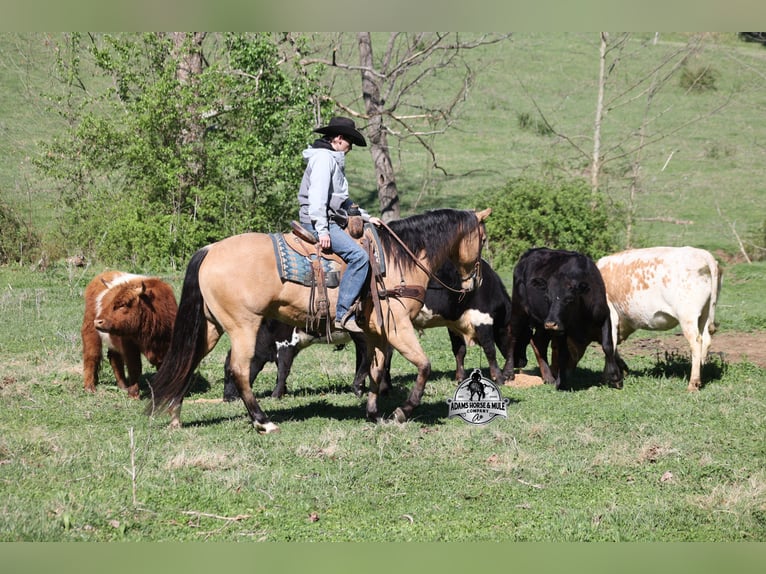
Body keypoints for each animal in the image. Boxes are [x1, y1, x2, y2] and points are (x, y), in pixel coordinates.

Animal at [147, 207, 491, 433]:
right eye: (483, 239)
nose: (475, 282)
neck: (397, 260)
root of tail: (209, 249)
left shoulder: (376, 332)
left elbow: (376, 370)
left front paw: (373, 413)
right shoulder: (398, 327)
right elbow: (423, 366)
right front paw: (402, 412)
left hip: (210, 326)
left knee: (189, 361)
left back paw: (176, 415)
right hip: (243, 326)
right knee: (239, 370)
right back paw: (263, 421)